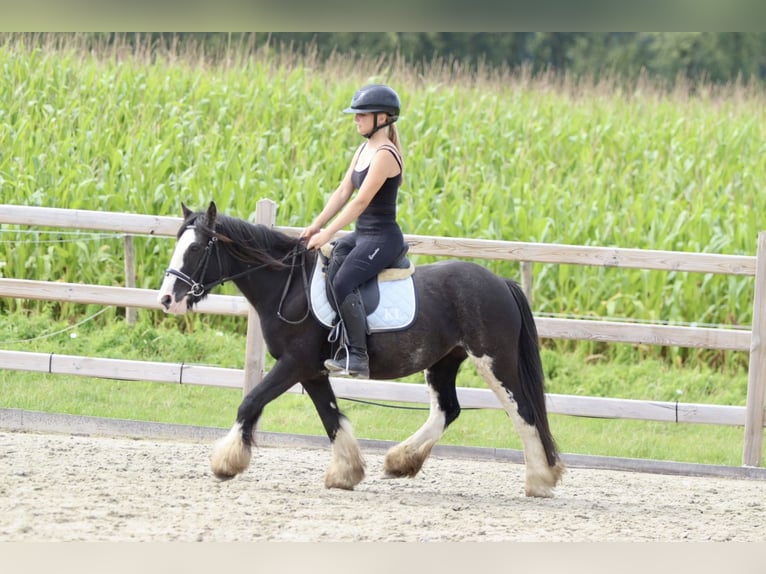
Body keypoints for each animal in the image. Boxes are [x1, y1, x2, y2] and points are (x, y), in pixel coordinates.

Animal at [158, 204, 564, 500]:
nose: (166, 300)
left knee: (523, 412)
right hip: (443, 361)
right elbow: (331, 418)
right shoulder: (312, 371)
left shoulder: (294, 364)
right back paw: (400, 461)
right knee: (447, 410)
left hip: (494, 361)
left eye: (196, 248)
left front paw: (226, 463)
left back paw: (540, 480)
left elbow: (251, 402)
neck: (288, 287)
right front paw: (346, 473)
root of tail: (500, 282)